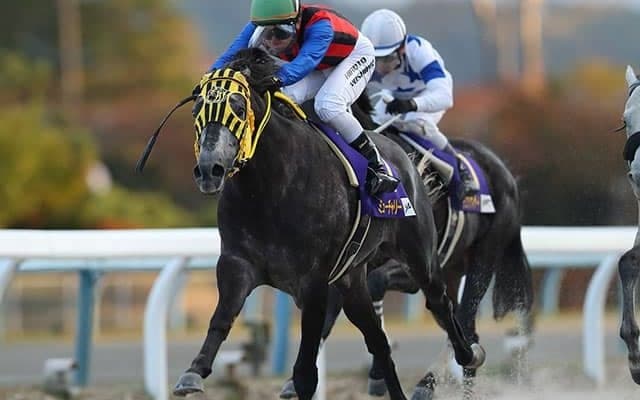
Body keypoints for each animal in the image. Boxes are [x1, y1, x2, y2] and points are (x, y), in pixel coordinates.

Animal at [136, 47, 484, 400]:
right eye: (197, 110)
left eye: (238, 107)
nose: (210, 170)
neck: (269, 189)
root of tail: (404, 157)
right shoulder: (238, 263)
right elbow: (223, 316)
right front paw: (193, 372)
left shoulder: (313, 281)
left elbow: (306, 371)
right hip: (353, 280)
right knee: (379, 343)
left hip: (419, 255)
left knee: (439, 302)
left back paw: (469, 354)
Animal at [281, 90, 534, 400]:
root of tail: (505, 173)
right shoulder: (345, 263)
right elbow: (330, 314)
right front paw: (295, 382)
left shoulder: (407, 264)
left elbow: (375, 286)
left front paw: (377, 373)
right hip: (452, 270)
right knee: (458, 323)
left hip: (482, 258)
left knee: (465, 324)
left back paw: (427, 384)